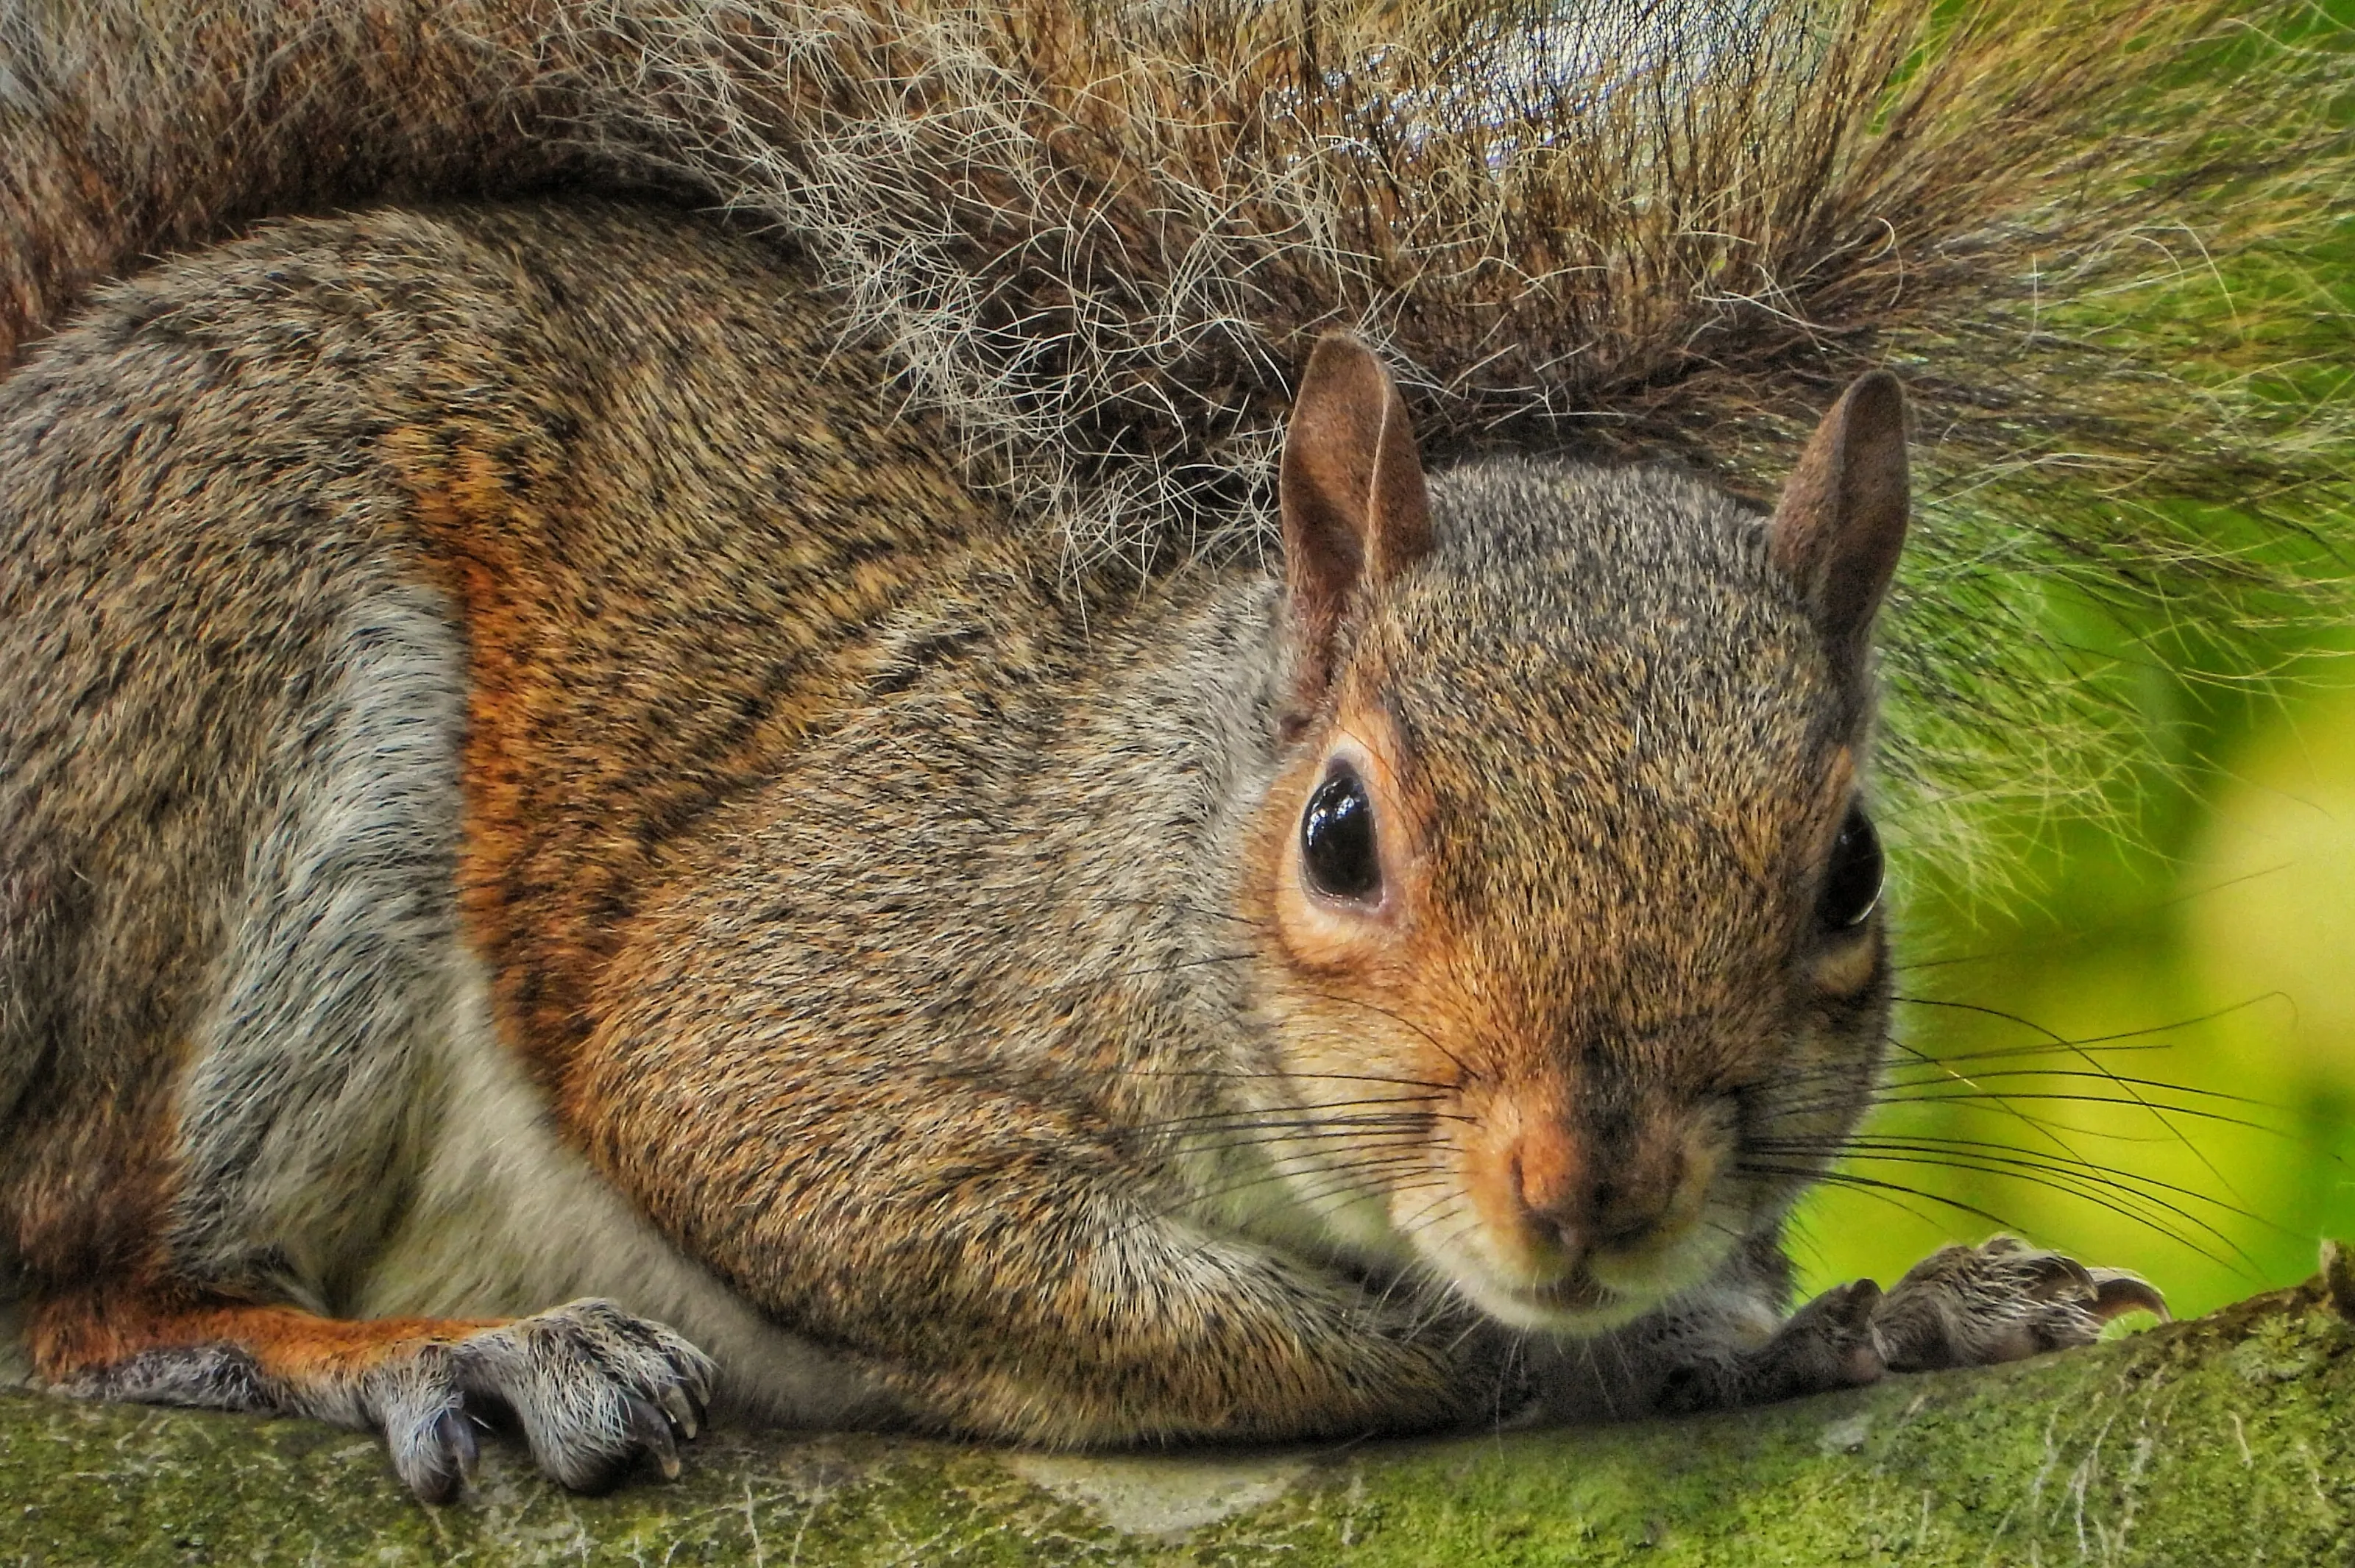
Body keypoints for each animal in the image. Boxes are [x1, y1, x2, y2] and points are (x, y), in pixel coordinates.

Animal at [2, 0, 2336, 1504]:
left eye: (1847, 872)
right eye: (1341, 832)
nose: (1588, 1183)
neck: (1137, 823)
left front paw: (1854, 1324)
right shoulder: (811, 999)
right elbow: (1155, 1298)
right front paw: (1635, 1352)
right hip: (215, 661)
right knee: (78, 1286)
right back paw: (432, 1353)